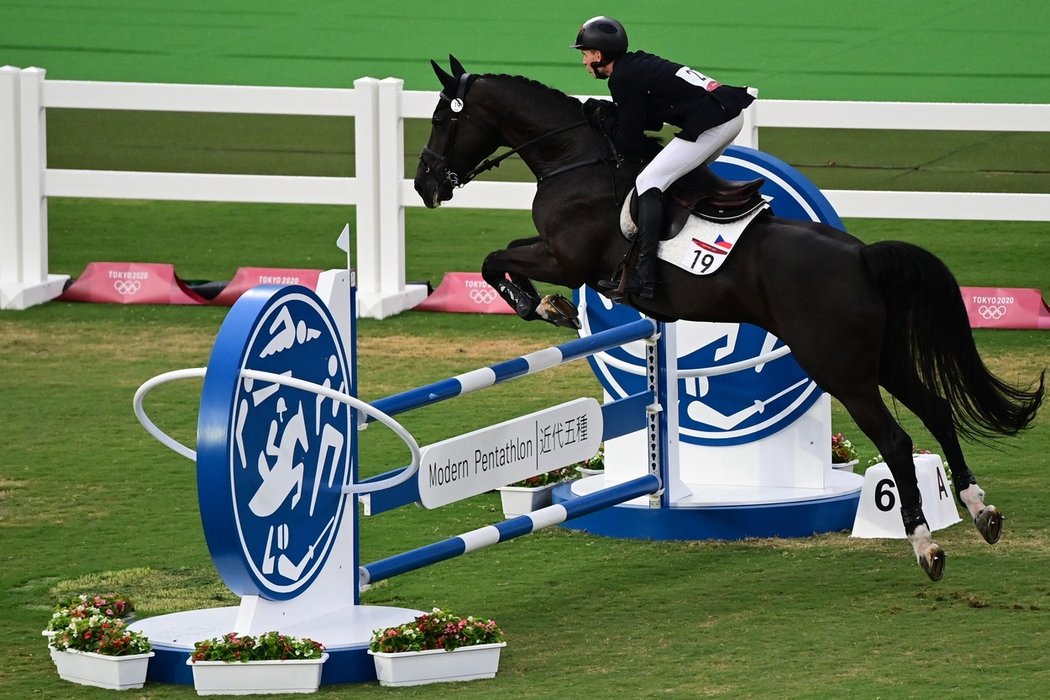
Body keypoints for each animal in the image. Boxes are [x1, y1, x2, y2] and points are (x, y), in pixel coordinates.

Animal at [411, 56, 1041, 579]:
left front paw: (541, 304)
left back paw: (925, 545)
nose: (424, 185)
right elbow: (502, 256)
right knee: (935, 411)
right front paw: (550, 305)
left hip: (840, 369)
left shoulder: (566, 257)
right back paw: (981, 512)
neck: (575, 159)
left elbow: (496, 260)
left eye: (443, 118)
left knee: (896, 438)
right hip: (878, 359)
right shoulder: (556, 253)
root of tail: (861, 256)